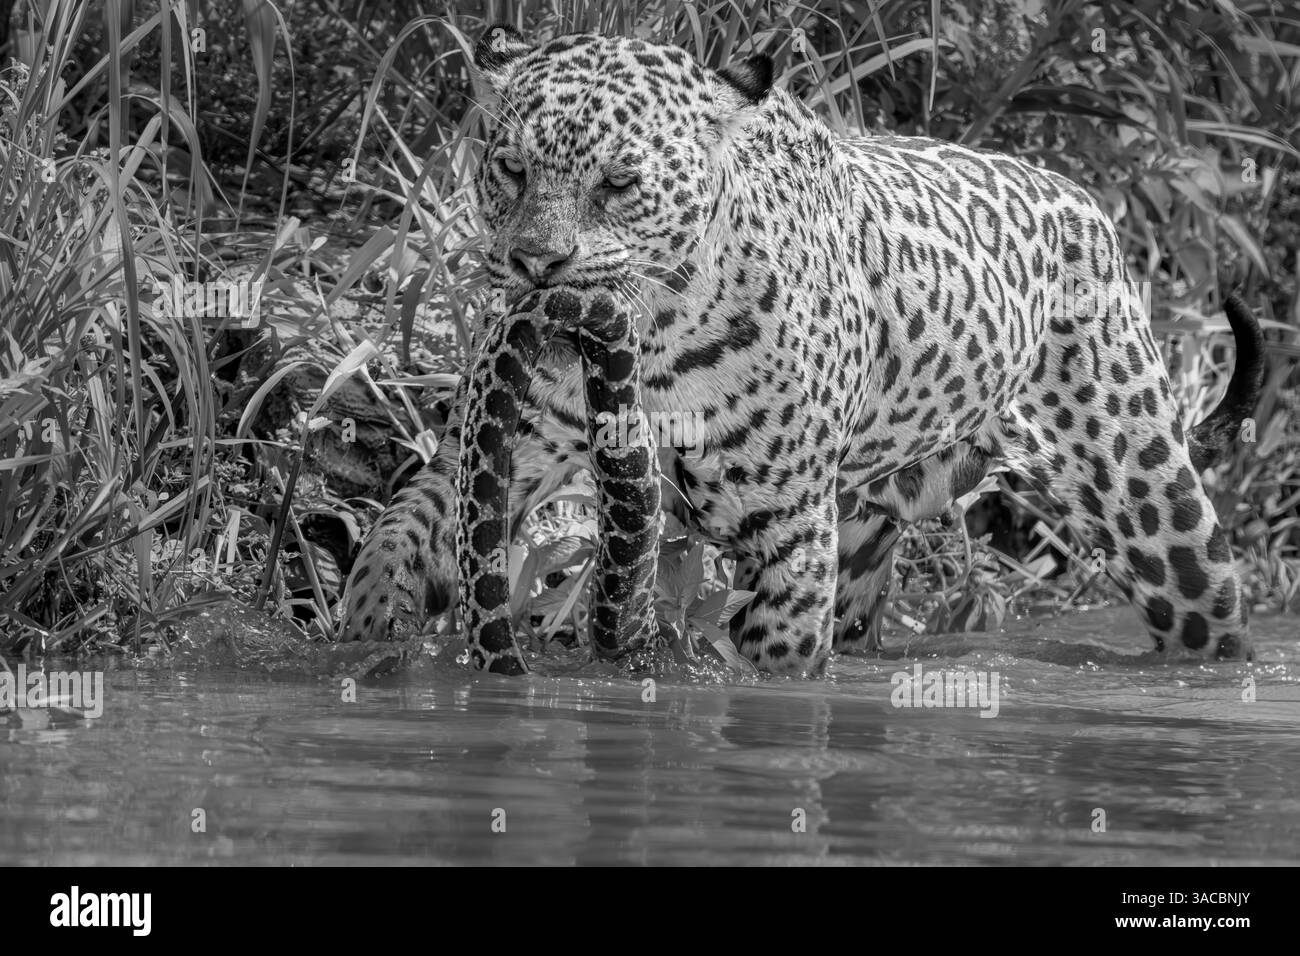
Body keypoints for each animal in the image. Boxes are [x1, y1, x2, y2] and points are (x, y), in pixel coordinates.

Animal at [338, 25, 1266, 676]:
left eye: (619, 182)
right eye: (510, 168)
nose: (537, 263)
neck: (657, 339)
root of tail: (1086, 200)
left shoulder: (786, 534)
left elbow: (774, 664)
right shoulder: (501, 446)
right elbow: (399, 526)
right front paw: (371, 629)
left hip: (1157, 512)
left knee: (1207, 614)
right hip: (863, 529)